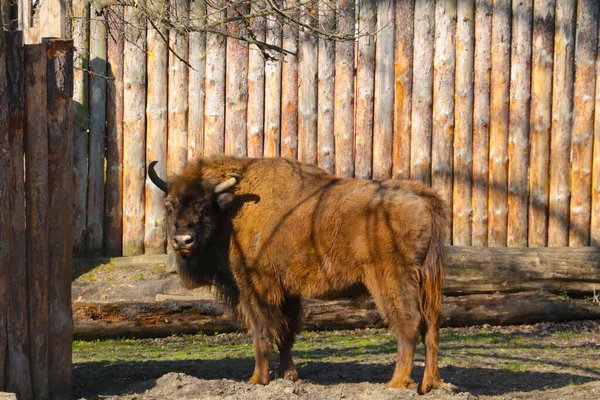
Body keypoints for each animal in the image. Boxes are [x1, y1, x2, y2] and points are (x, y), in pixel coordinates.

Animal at [149, 155, 450, 394]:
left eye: (203, 207)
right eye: (169, 206)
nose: (183, 240)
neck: (233, 209)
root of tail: (421, 195)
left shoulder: (255, 289)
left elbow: (262, 333)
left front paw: (257, 380)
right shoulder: (287, 293)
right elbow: (286, 332)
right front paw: (290, 377)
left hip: (391, 280)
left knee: (408, 324)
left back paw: (397, 383)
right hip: (427, 281)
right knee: (431, 326)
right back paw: (429, 384)